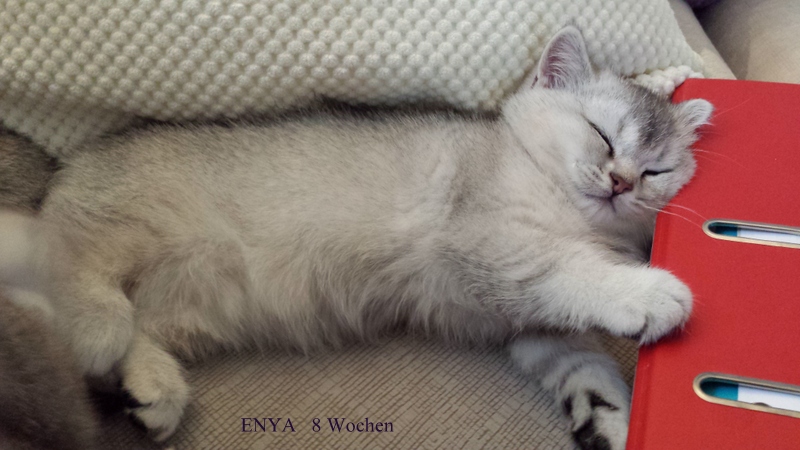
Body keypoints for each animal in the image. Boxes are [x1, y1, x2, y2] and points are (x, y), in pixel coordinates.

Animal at [0, 27, 712, 450]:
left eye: (657, 170)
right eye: (602, 134)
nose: (621, 182)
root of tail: (61, 171)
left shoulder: (525, 322)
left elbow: (584, 361)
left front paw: (610, 417)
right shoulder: (492, 246)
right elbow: (574, 273)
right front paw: (651, 294)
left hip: (185, 305)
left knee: (129, 328)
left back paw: (152, 388)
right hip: (131, 224)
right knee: (69, 259)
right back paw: (98, 326)